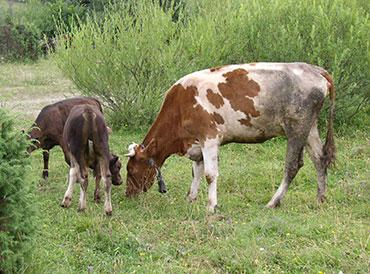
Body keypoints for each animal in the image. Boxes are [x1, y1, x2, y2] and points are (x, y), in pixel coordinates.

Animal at [125, 63, 336, 213]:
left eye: (132, 170)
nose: (128, 194)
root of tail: (314, 69)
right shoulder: (197, 143)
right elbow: (196, 172)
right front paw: (191, 198)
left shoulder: (210, 137)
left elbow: (210, 174)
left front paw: (211, 206)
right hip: (310, 127)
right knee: (320, 159)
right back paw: (320, 198)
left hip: (297, 127)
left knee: (293, 166)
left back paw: (273, 202)